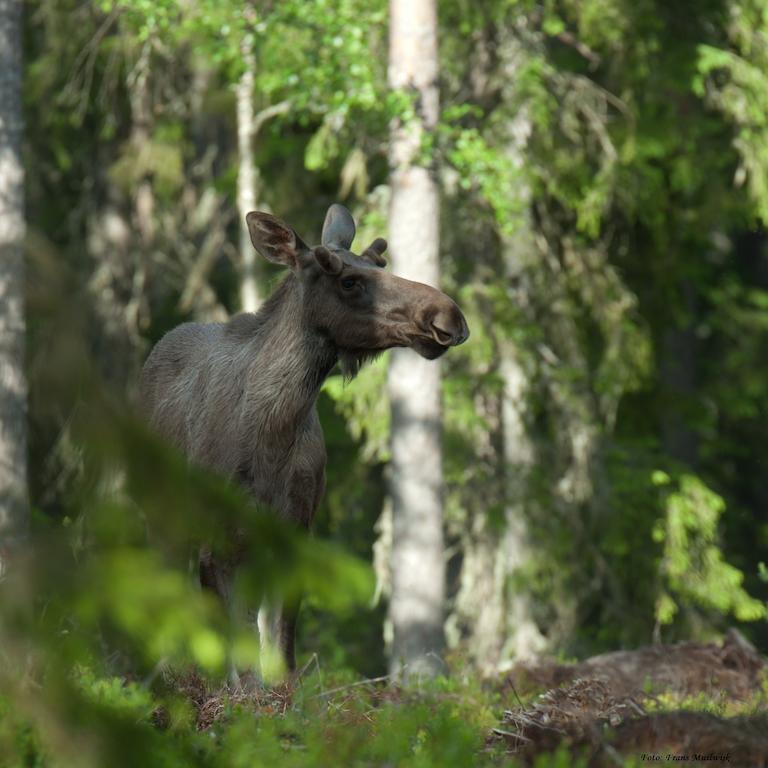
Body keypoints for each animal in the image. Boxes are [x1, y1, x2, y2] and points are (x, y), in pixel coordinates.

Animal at [141, 206, 472, 684]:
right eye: (348, 280)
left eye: (379, 261)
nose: (449, 316)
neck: (273, 436)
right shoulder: (217, 534)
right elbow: (230, 644)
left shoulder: (296, 530)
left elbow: (280, 644)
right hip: (161, 517)